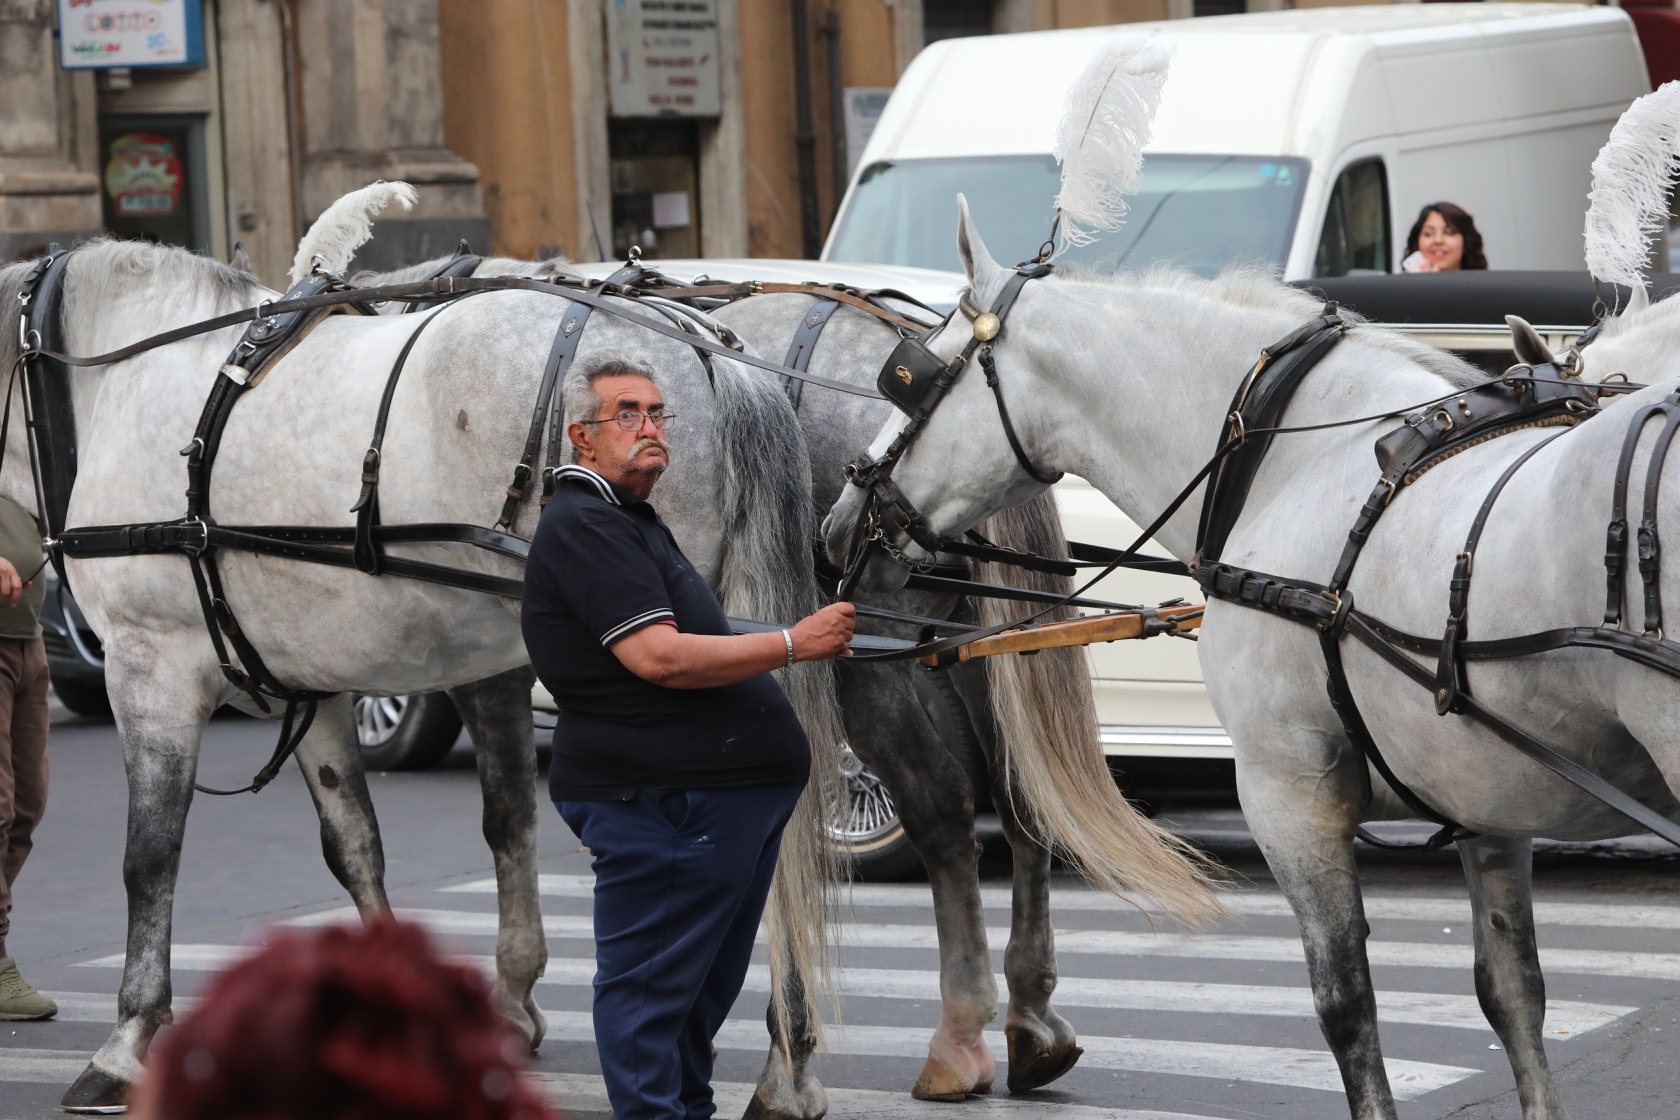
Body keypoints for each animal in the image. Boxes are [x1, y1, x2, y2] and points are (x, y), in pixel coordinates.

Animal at [0, 230, 840, 1114]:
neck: (126, 375)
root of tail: (701, 342)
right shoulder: (317, 687)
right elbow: (359, 845)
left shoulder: (149, 668)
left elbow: (149, 857)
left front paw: (127, 1043)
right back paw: (788, 1059)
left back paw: (782, 1062)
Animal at [823, 204, 1680, 1120]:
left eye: (907, 376)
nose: (838, 524)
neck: (1304, 463)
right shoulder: (1484, 795)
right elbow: (1513, 994)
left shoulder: (1286, 794)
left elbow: (1346, 1005)